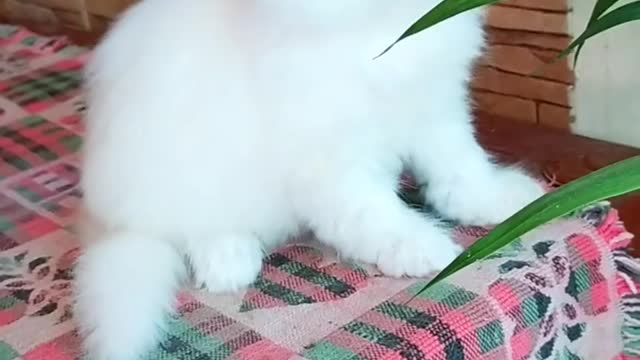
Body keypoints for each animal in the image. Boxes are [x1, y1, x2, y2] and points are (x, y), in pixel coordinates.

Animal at [74, 1, 544, 358]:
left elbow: (462, 170)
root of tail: (109, 215)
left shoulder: (436, 113)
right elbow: (374, 215)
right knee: (193, 229)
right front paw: (423, 249)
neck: (380, 28)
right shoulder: (331, 164)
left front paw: (506, 202)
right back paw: (229, 261)